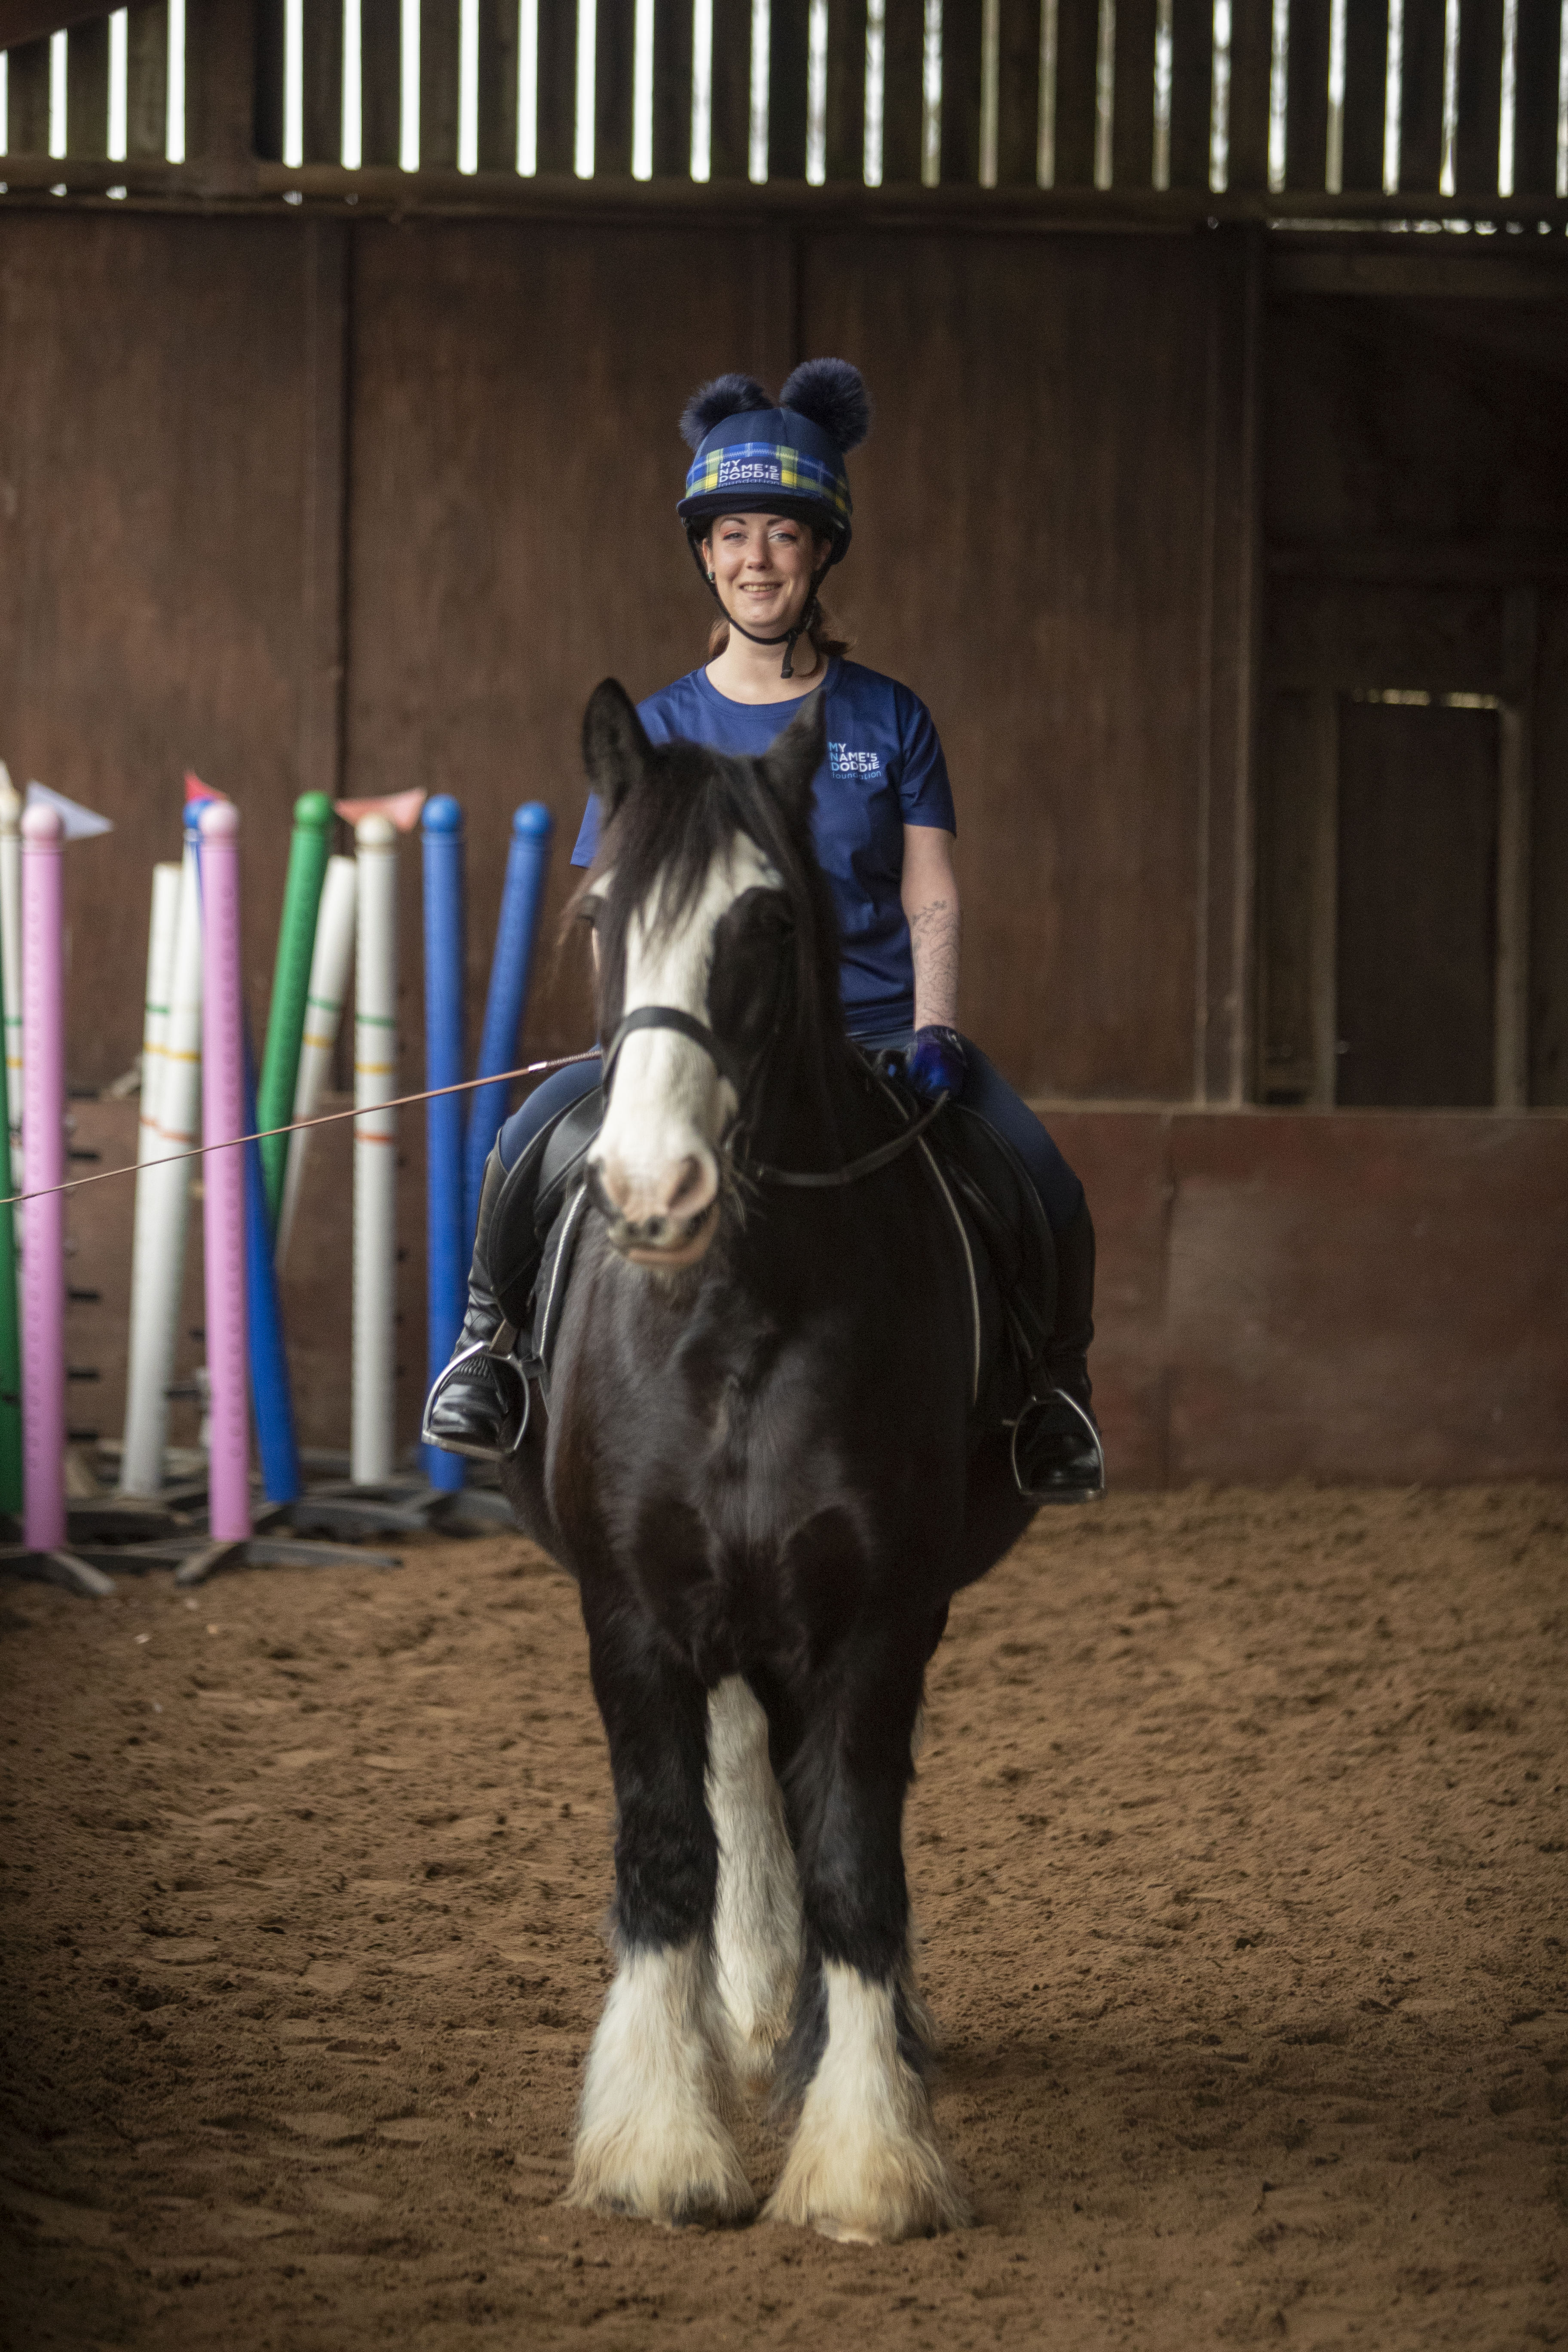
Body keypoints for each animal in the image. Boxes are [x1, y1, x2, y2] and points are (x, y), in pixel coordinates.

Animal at [503, 682, 1034, 2239]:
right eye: (601, 912)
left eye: (770, 921)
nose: (651, 1191)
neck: (736, 1312)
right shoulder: (628, 1610)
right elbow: (670, 1849)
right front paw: (658, 2146)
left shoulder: (880, 1613)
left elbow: (856, 1863)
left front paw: (866, 2155)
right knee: (743, 1783)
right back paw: (745, 2010)